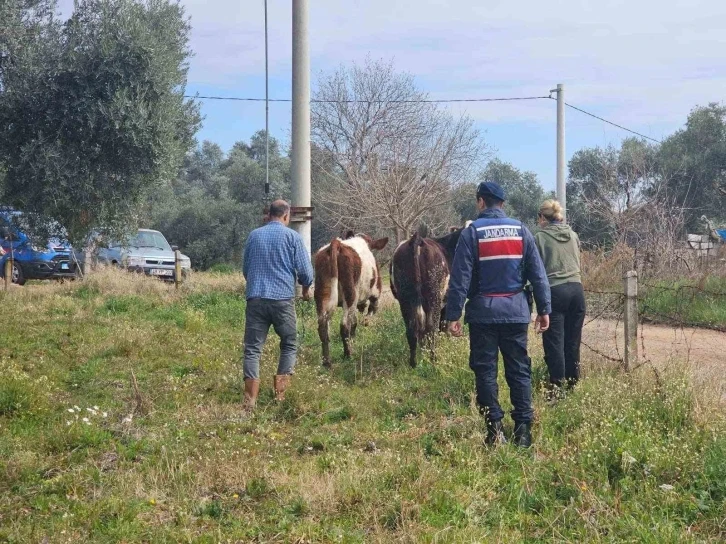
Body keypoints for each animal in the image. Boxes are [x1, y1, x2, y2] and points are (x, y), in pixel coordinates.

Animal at [314, 232, 390, 368]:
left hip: (321, 295)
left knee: (323, 327)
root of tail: (337, 244)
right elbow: (368, 314)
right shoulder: (375, 295)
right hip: (350, 296)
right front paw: (365, 323)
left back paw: (326, 361)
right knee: (344, 325)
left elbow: (354, 322)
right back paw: (348, 354)